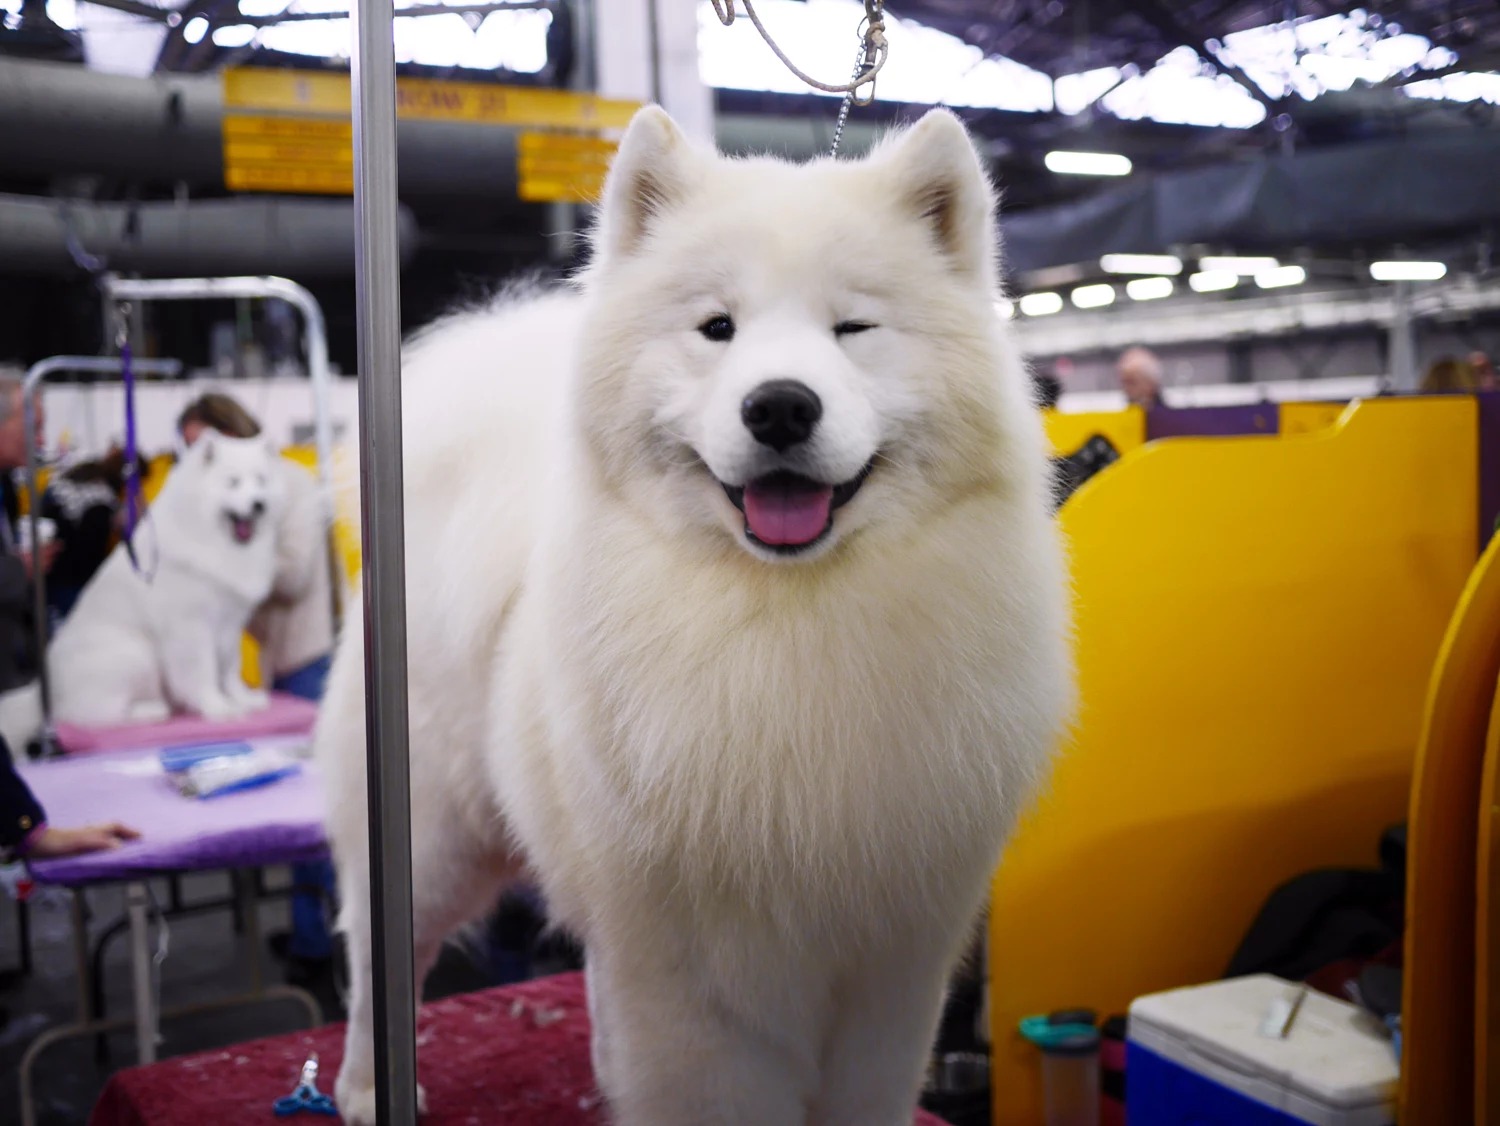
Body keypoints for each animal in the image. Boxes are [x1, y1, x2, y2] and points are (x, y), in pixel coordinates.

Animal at [0, 431, 282, 749]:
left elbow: (230, 669)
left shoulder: (230, 624)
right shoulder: (191, 628)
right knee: (92, 714)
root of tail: (42, 693)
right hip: (136, 656)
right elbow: (202, 672)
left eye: (261, 480)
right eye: (232, 482)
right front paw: (217, 707)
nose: (259, 504)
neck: (215, 540)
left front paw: (242, 699)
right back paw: (150, 711)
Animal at [316, 107, 1068, 1126]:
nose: (780, 405)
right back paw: (362, 1087)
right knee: (376, 957)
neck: (788, 618)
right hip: (426, 838)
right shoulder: (696, 983)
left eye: (853, 328)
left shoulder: (891, 965)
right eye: (717, 328)